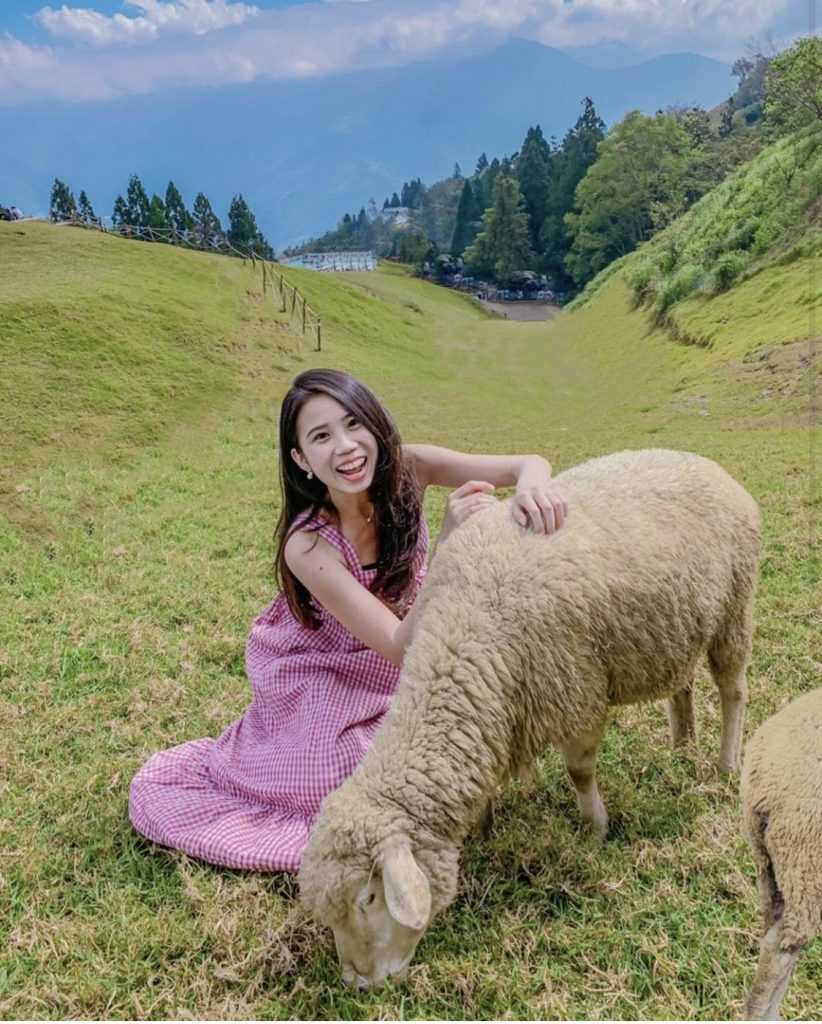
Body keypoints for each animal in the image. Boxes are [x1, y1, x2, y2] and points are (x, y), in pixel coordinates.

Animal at [298, 450, 761, 991]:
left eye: (368, 898)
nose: (358, 984)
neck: (463, 635)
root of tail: (707, 464)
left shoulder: (576, 691)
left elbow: (580, 772)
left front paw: (594, 830)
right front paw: (483, 827)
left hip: (734, 607)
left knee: (732, 690)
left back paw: (726, 765)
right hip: (675, 625)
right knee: (682, 684)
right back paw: (682, 746)